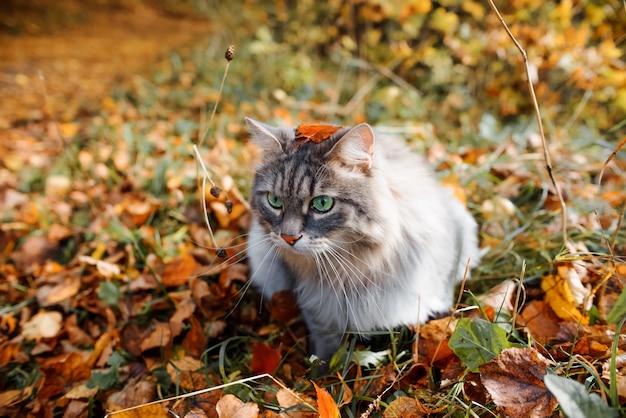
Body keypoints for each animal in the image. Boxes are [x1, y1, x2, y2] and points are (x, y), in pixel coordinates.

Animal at [243, 117, 478, 362]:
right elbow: (325, 347)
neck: (354, 269)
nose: (288, 237)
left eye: (322, 204)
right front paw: (322, 368)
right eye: (274, 201)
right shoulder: (319, 311)